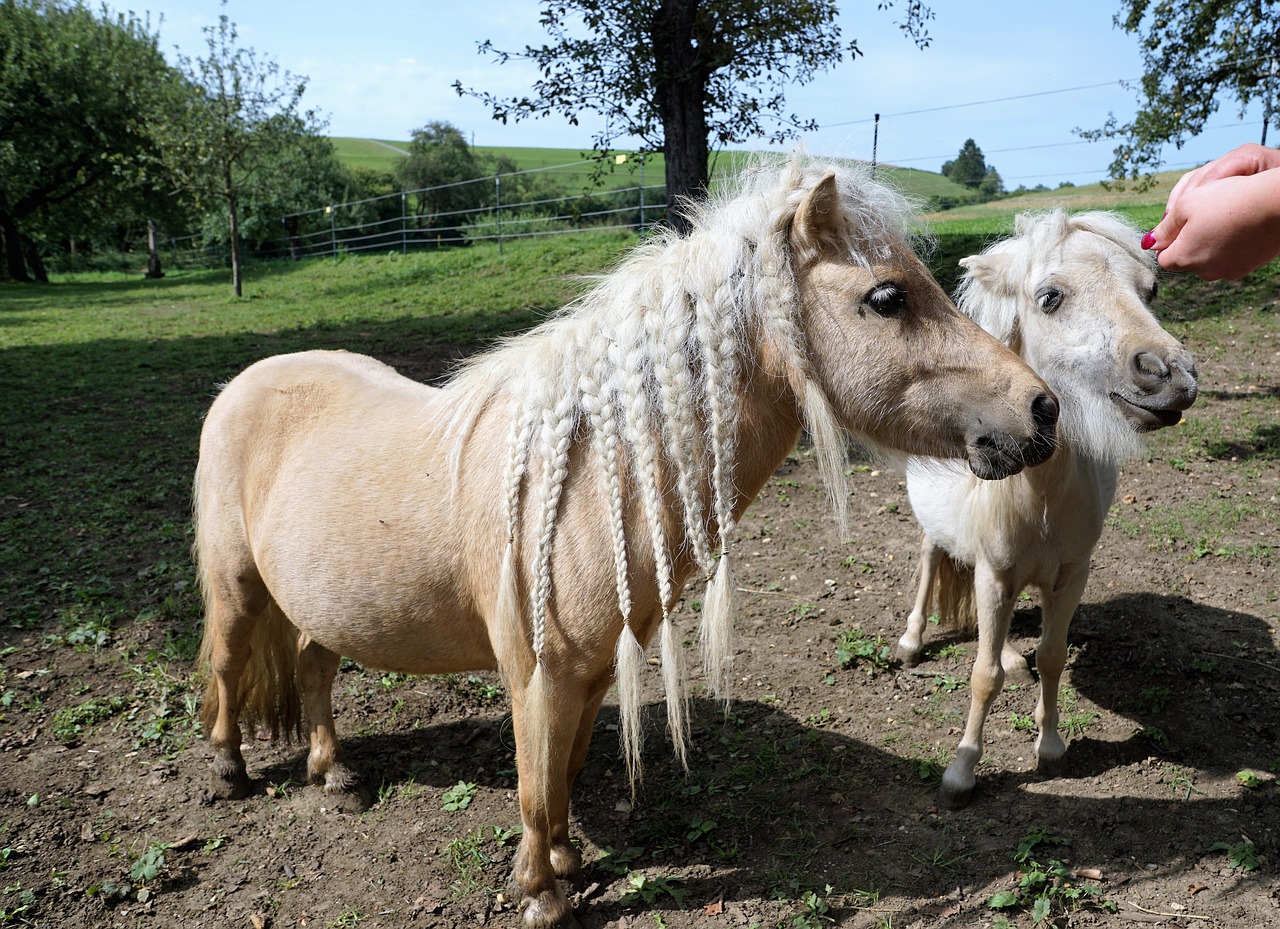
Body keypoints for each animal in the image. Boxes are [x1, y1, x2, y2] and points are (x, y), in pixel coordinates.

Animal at [194, 154, 1054, 929]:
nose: (1040, 408)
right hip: (238, 589)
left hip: (318, 601)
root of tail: (246, 380)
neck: (584, 478)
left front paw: (567, 859)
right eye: (886, 297)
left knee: (313, 665)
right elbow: (535, 781)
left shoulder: (593, 669)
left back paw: (333, 772)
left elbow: (566, 770)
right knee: (230, 663)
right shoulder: (539, 674)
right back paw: (228, 770)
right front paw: (541, 894)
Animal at [896, 211, 1192, 808]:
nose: (1171, 376)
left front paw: (1051, 747)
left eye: (1151, 290)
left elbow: (1052, 655)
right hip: (937, 533)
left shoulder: (1071, 575)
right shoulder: (994, 574)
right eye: (1049, 297)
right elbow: (982, 676)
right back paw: (912, 641)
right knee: (929, 565)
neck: (1040, 493)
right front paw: (961, 771)